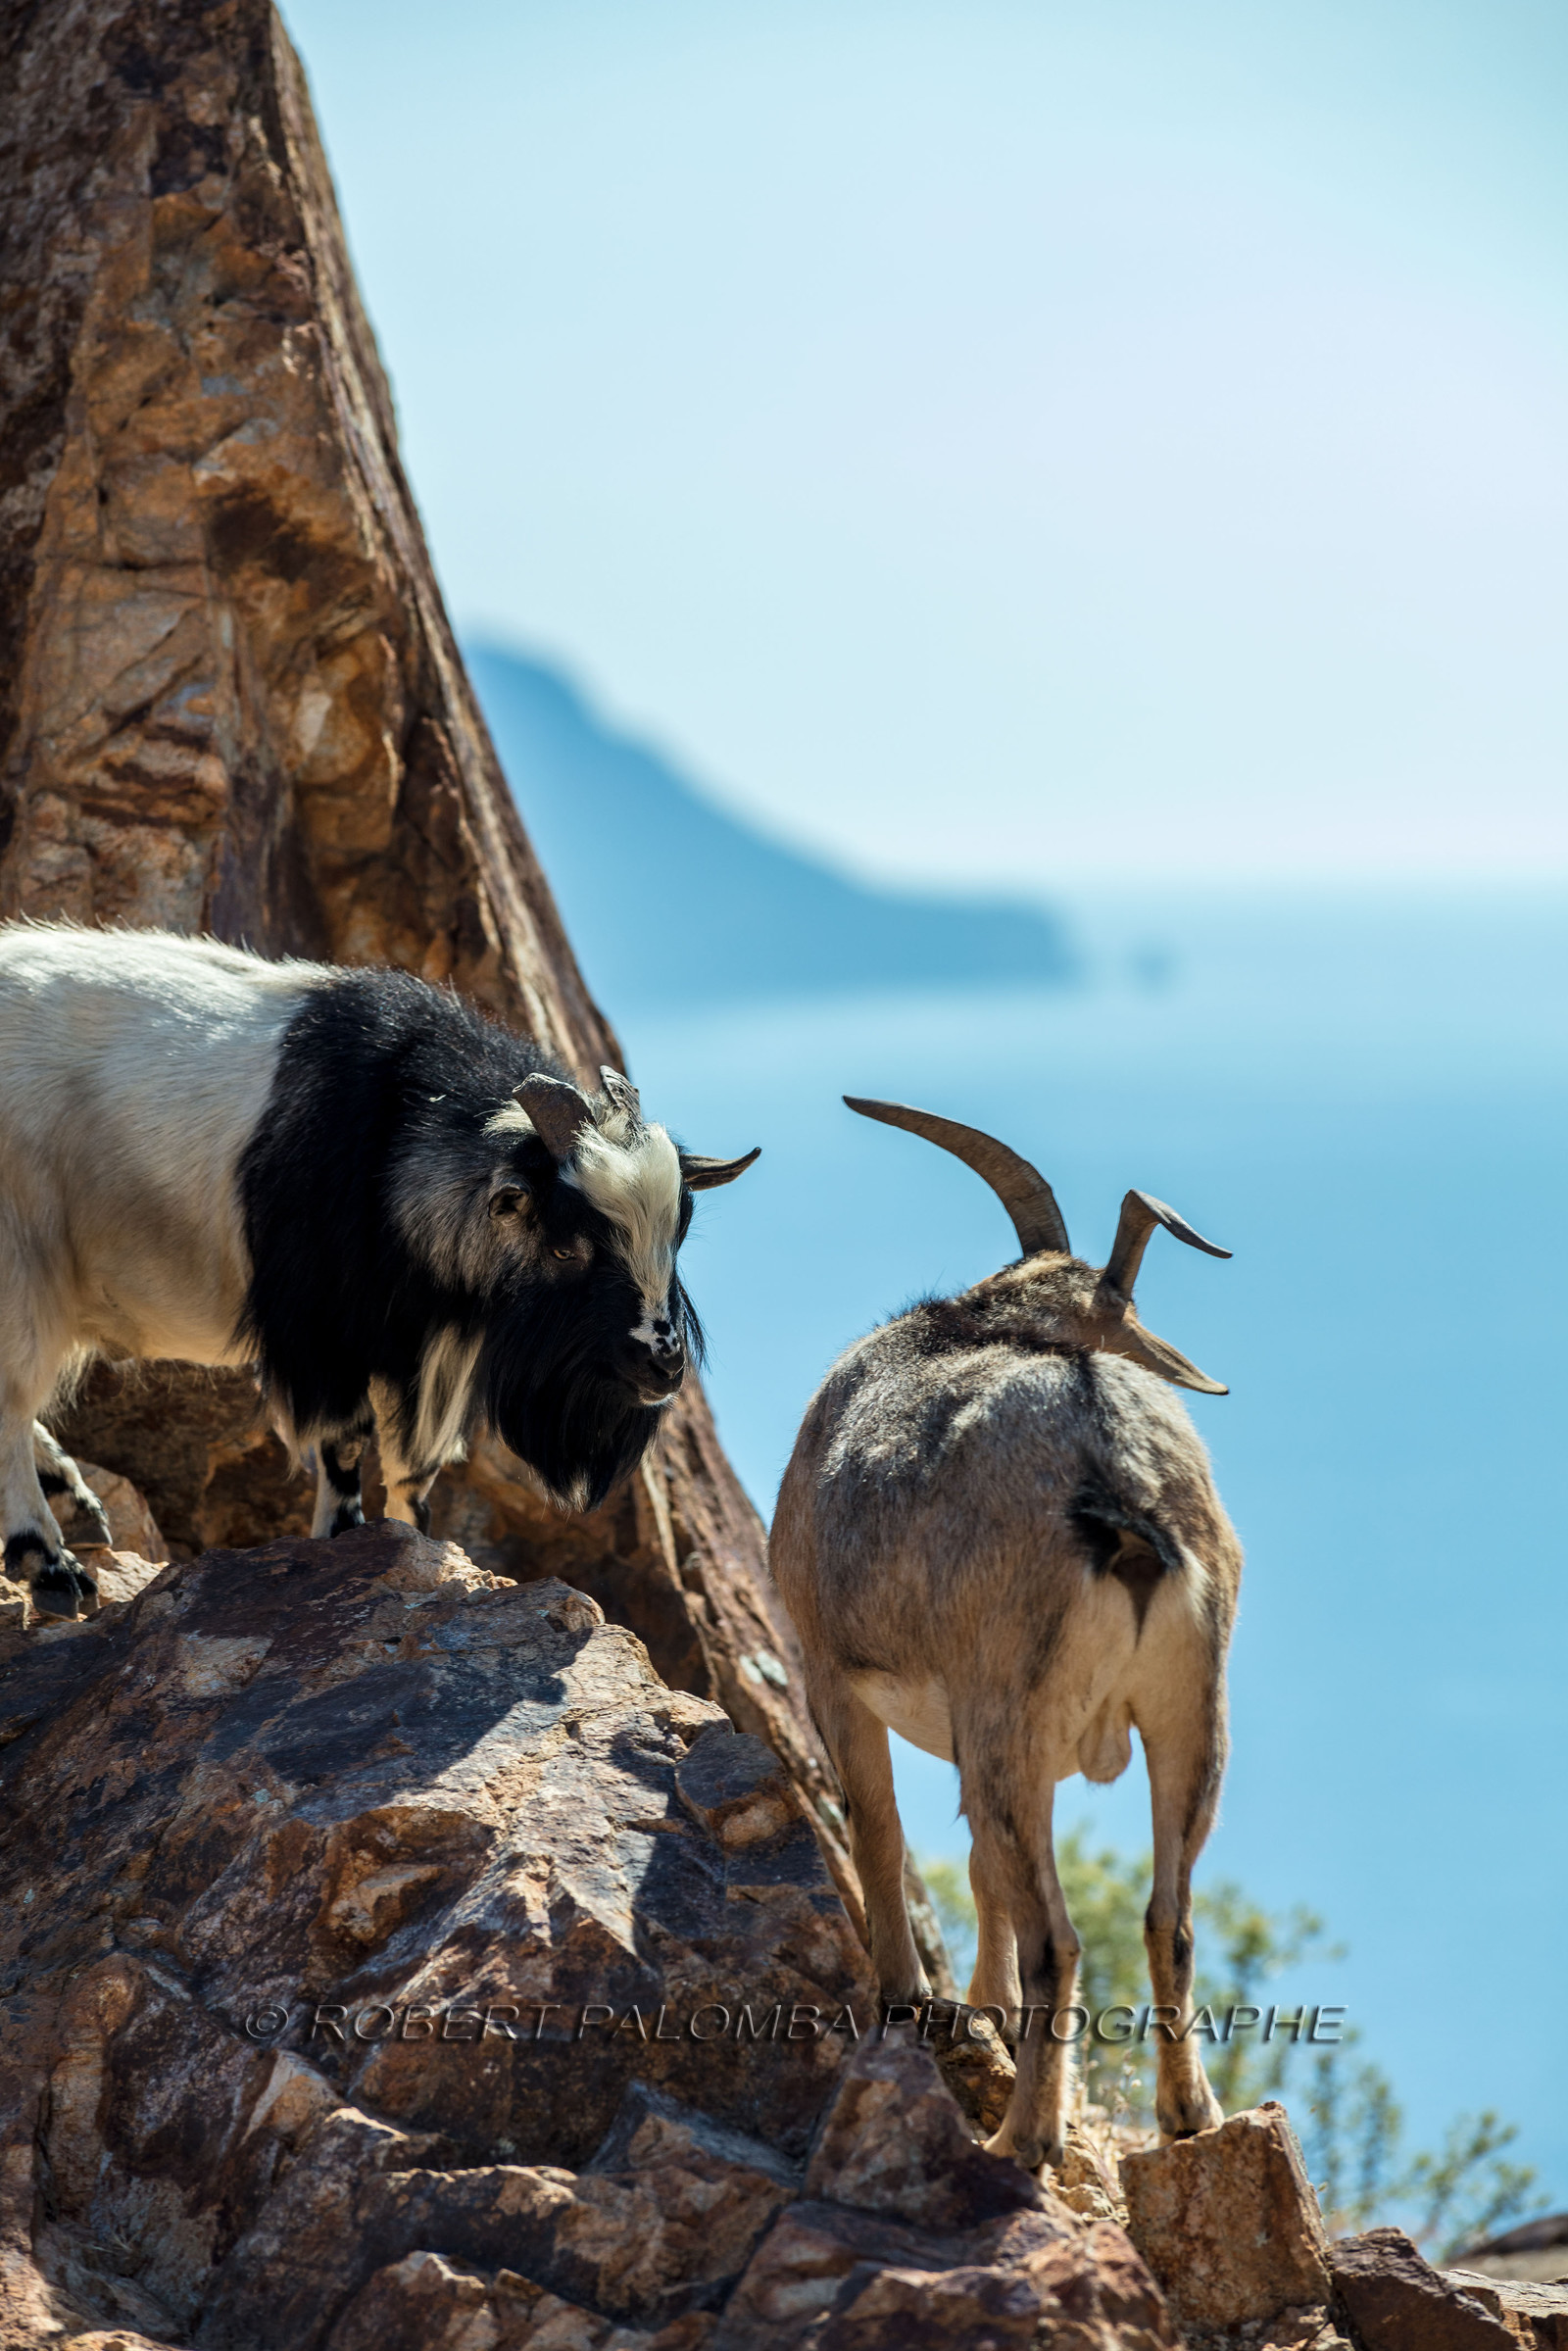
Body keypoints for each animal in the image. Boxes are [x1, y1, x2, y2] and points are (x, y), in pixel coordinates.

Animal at [0, 922, 756, 1620]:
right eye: (566, 1247)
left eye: (678, 1234)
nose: (663, 1365)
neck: (391, 1132)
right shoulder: (321, 1334)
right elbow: (346, 1445)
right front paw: (342, 1541)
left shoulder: (420, 1351)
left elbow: (415, 1473)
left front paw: (411, 1545)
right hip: (24, 1268)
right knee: (13, 1396)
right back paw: (50, 1561)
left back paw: (75, 1497)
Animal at [771, 1095, 1241, 2172]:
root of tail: (1116, 1473)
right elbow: (982, 1865)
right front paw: (974, 2007)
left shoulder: (830, 1669)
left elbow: (881, 1825)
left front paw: (906, 1995)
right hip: (1190, 1709)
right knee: (1170, 1915)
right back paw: (1189, 2115)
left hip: (1010, 1706)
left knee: (1057, 1939)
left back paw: (1018, 2138)